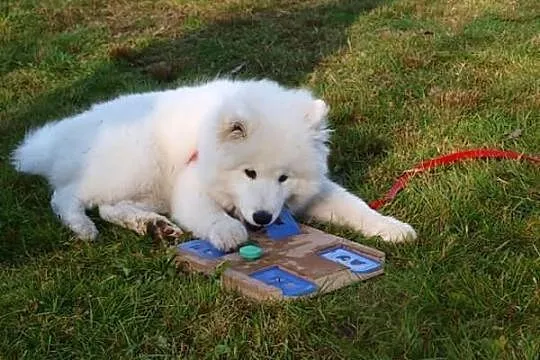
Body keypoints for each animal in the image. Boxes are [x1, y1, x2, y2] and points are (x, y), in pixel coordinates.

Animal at [11, 78, 418, 250]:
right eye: (249, 173)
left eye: (284, 178)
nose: (263, 219)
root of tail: (64, 135)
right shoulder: (189, 185)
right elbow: (209, 215)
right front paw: (229, 232)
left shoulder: (311, 193)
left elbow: (355, 206)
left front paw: (391, 227)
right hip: (136, 163)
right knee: (68, 196)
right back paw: (83, 227)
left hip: (146, 185)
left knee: (110, 207)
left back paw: (154, 226)